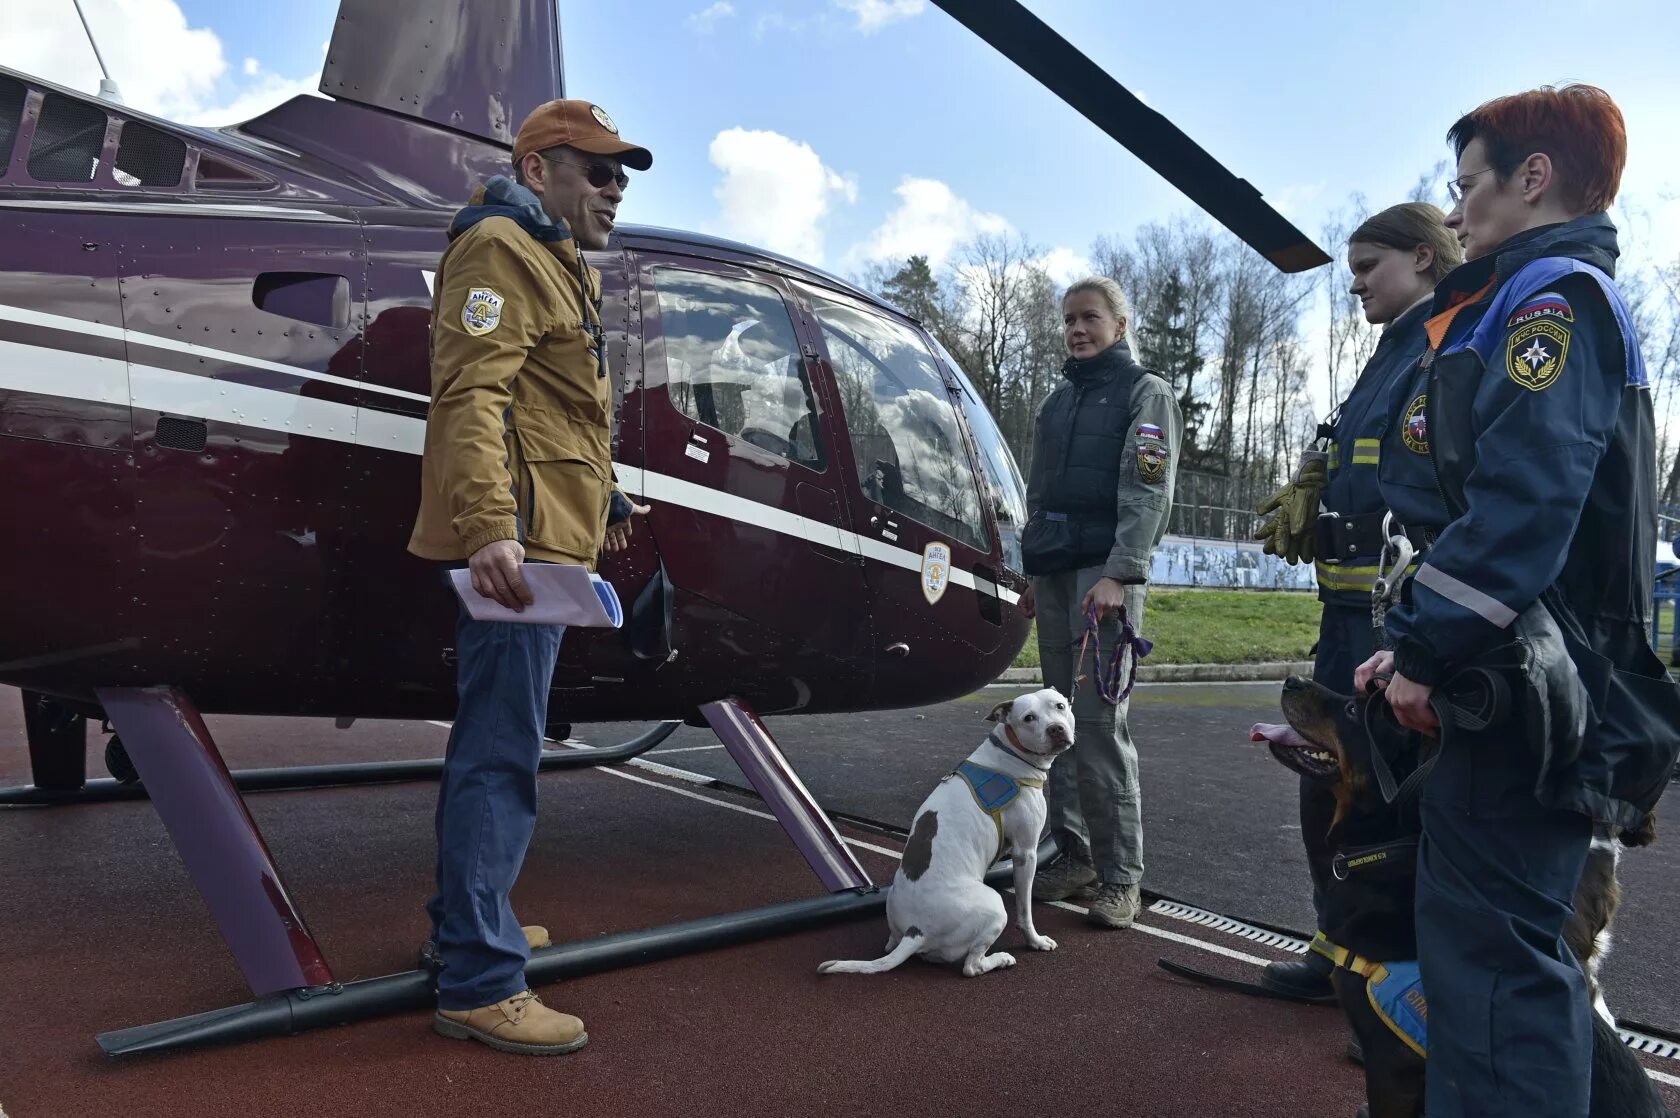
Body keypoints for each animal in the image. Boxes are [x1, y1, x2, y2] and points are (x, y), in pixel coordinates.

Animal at [816, 689, 1075, 975]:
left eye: (1059, 706)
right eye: (1029, 718)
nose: (1056, 728)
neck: (1009, 751)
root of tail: (915, 931)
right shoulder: (1025, 853)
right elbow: (1025, 910)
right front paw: (1036, 941)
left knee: (892, 945)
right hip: (995, 907)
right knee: (971, 966)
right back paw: (1000, 959)